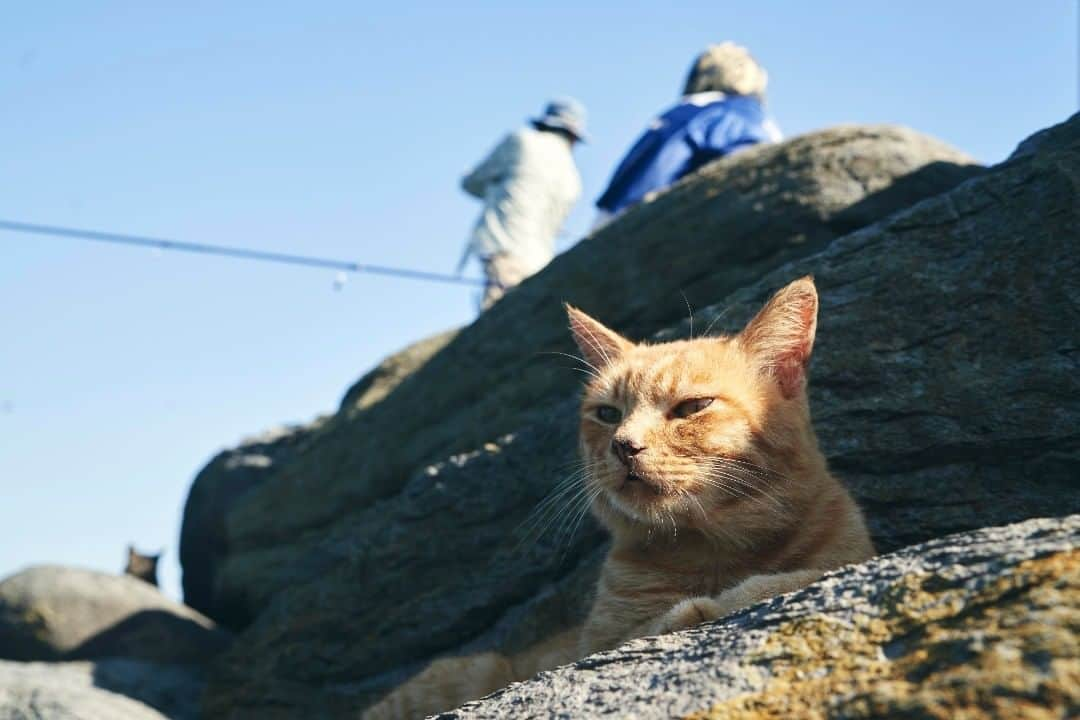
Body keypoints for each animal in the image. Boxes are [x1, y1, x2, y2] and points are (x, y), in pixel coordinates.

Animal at [367, 278, 872, 720]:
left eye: (692, 407)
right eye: (608, 414)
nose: (624, 445)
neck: (714, 548)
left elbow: (796, 575)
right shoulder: (599, 643)